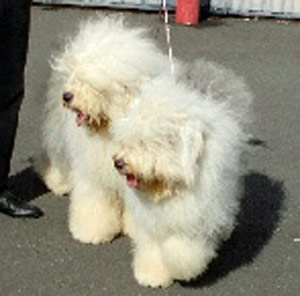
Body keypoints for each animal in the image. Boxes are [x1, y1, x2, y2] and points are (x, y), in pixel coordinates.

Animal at [39, 15, 171, 244]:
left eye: (92, 84)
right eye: (78, 78)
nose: (67, 96)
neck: (110, 129)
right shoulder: (93, 171)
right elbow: (94, 201)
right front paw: (91, 232)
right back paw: (58, 183)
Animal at [111, 61, 252, 288]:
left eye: (145, 144)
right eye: (128, 140)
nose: (118, 162)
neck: (170, 188)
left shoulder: (194, 220)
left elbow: (181, 251)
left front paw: (182, 270)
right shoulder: (152, 223)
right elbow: (152, 249)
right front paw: (152, 276)